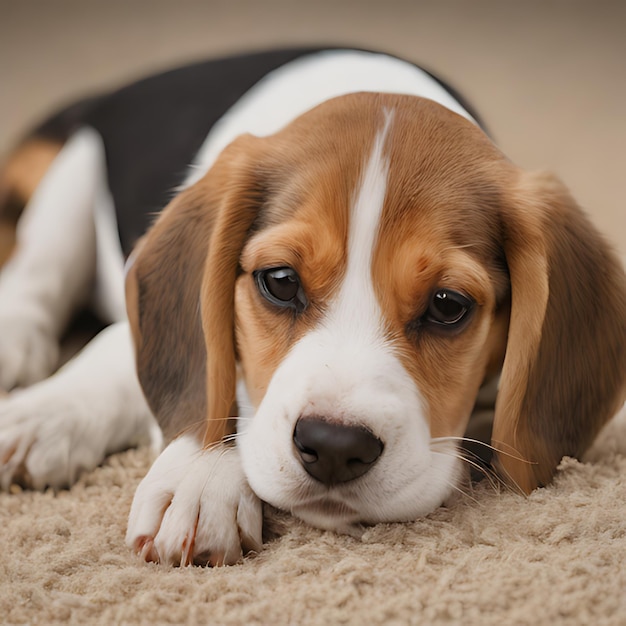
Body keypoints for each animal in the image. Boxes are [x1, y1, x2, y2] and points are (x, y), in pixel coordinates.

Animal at [1, 48, 624, 564]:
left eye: (448, 306)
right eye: (280, 281)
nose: (334, 448)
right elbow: (198, 370)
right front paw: (198, 473)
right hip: (77, 171)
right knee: (36, 274)